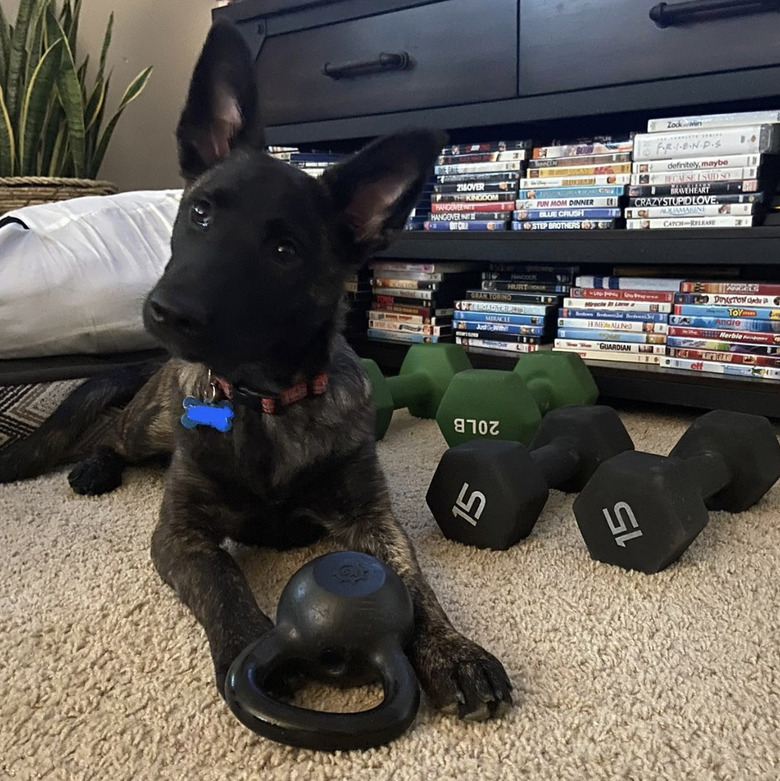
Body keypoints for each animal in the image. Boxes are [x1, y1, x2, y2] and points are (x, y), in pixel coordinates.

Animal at [0, 21, 516, 724]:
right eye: (200, 212)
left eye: (283, 250)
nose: (167, 312)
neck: (266, 402)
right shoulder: (180, 534)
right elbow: (224, 582)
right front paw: (250, 649)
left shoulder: (373, 517)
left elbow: (414, 585)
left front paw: (455, 650)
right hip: (150, 427)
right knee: (108, 430)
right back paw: (94, 467)